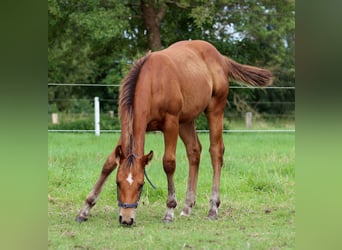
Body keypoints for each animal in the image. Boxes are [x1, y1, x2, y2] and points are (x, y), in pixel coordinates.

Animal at [75, 40, 272, 226]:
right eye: (118, 183)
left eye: (140, 185)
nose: (126, 219)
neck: (152, 81)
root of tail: (220, 58)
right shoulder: (134, 127)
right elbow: (109, 163)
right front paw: (85, 209)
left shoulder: (170, 123)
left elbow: (168, 163)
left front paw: (169, 211)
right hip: (186, 120)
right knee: (194, 150)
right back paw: (187, 206)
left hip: (214, 109)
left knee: (216, 151)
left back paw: (213, 208)